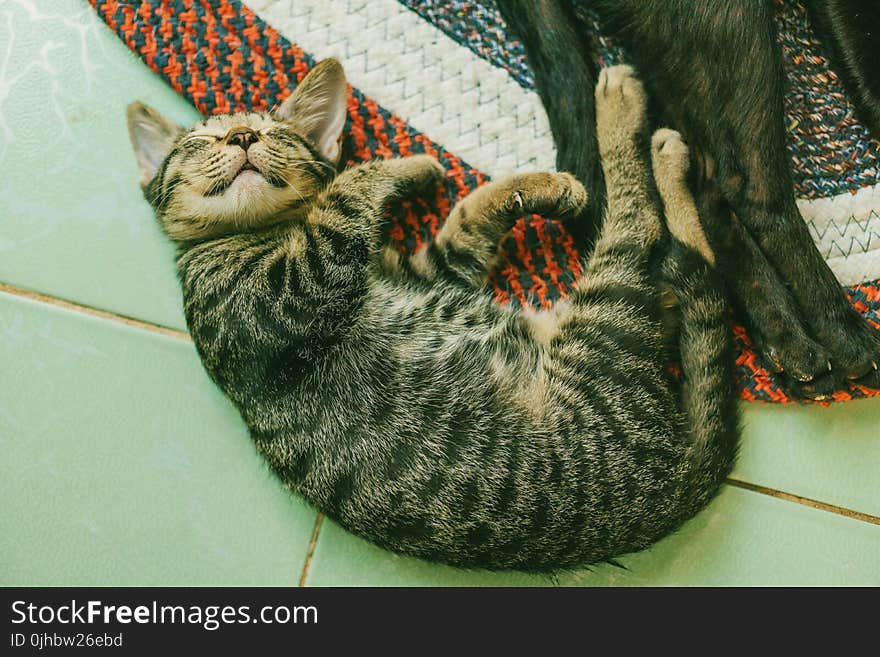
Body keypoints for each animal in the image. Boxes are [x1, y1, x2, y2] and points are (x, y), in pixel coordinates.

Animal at [127, 60, 740, 568]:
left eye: (278, 134)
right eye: (202, 141)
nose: (242, 136)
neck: (273, 230)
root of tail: (673, 491)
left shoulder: (433, 268)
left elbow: (466, 219)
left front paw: (506, 182)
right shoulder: (282, 294)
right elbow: (349, 185)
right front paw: (398, 165)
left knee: (692, 272)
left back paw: (664, 154)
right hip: (604, 326)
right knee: (642, 233)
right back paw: (623, 112)